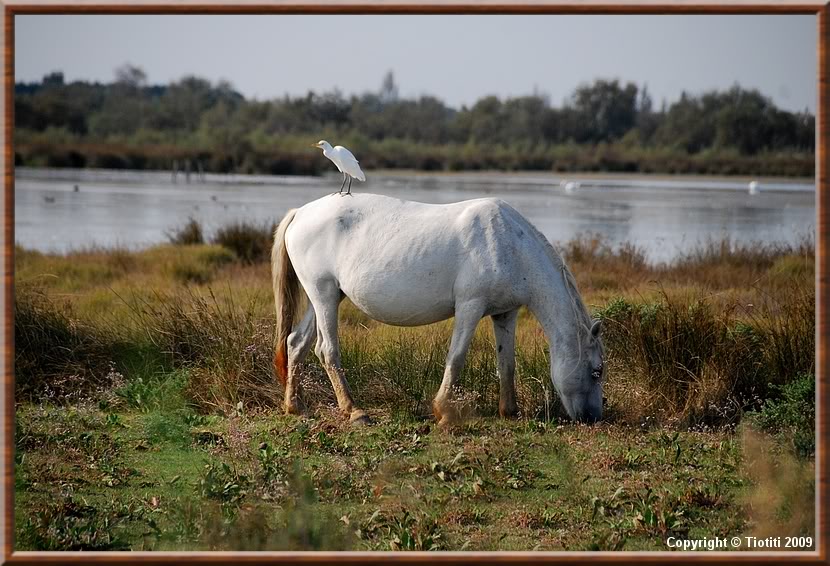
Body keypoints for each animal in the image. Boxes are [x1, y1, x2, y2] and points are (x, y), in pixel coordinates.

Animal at [272, 193, 604, 424]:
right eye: (597, 371)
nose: (592, 418)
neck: (509, 244)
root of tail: (301, 213)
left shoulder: (505, 313)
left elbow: (506, 364)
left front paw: (509, 411)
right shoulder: (470, 306)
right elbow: (456, 358)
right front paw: (442, 409)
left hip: (325, 297)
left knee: (296, 343)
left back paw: (294, 405)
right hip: (324, 294)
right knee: (327, 350)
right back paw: (354, 411)